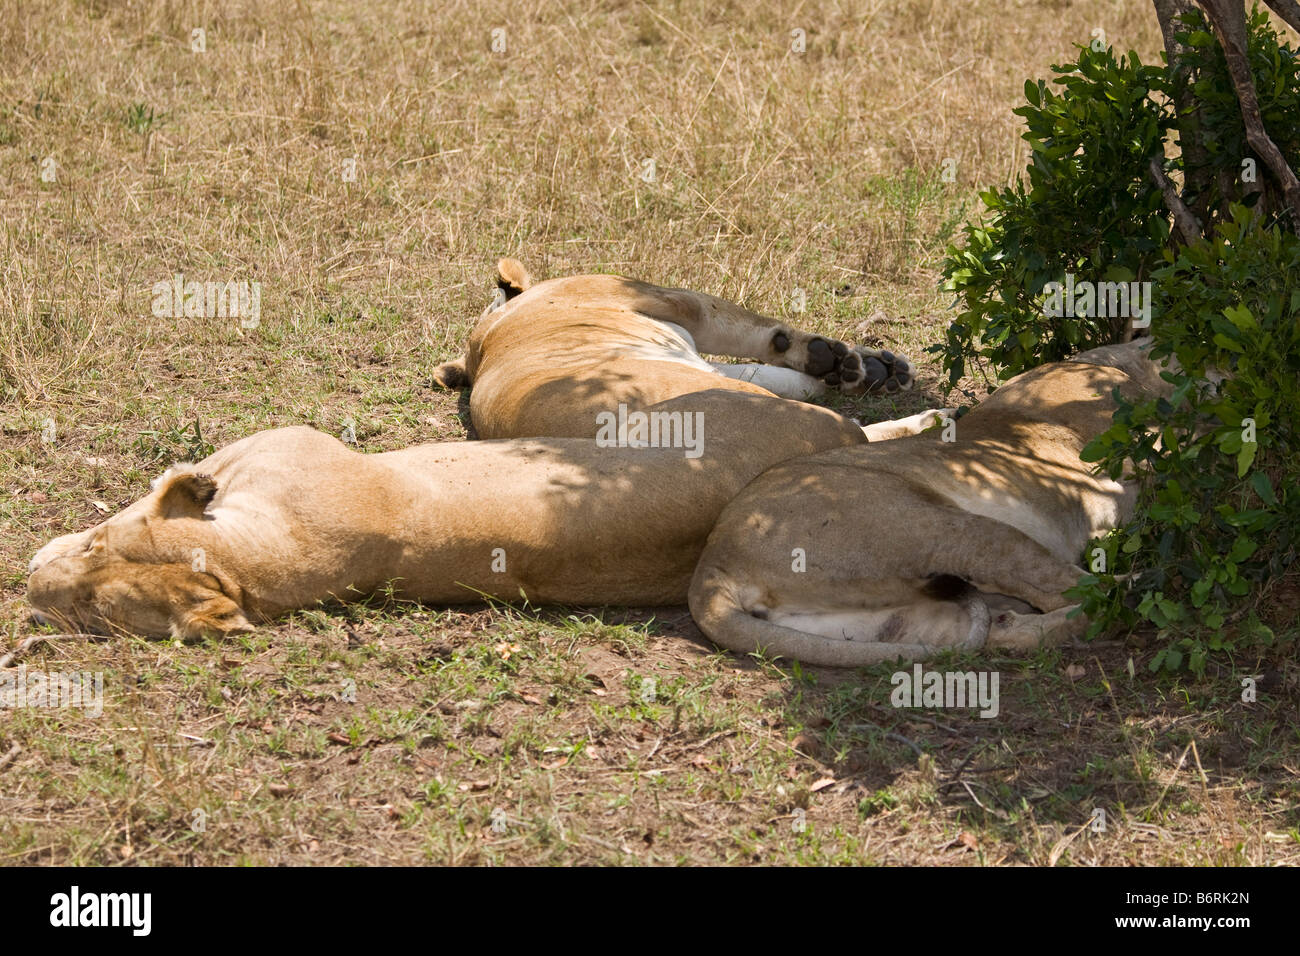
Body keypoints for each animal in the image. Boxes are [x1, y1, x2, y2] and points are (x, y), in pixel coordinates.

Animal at [687, 338, 1174, 666]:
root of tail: (712, 563)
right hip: (944, 529)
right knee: (1073, 591)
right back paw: (1148, 586)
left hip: (888, 622)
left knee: (1006, 630)